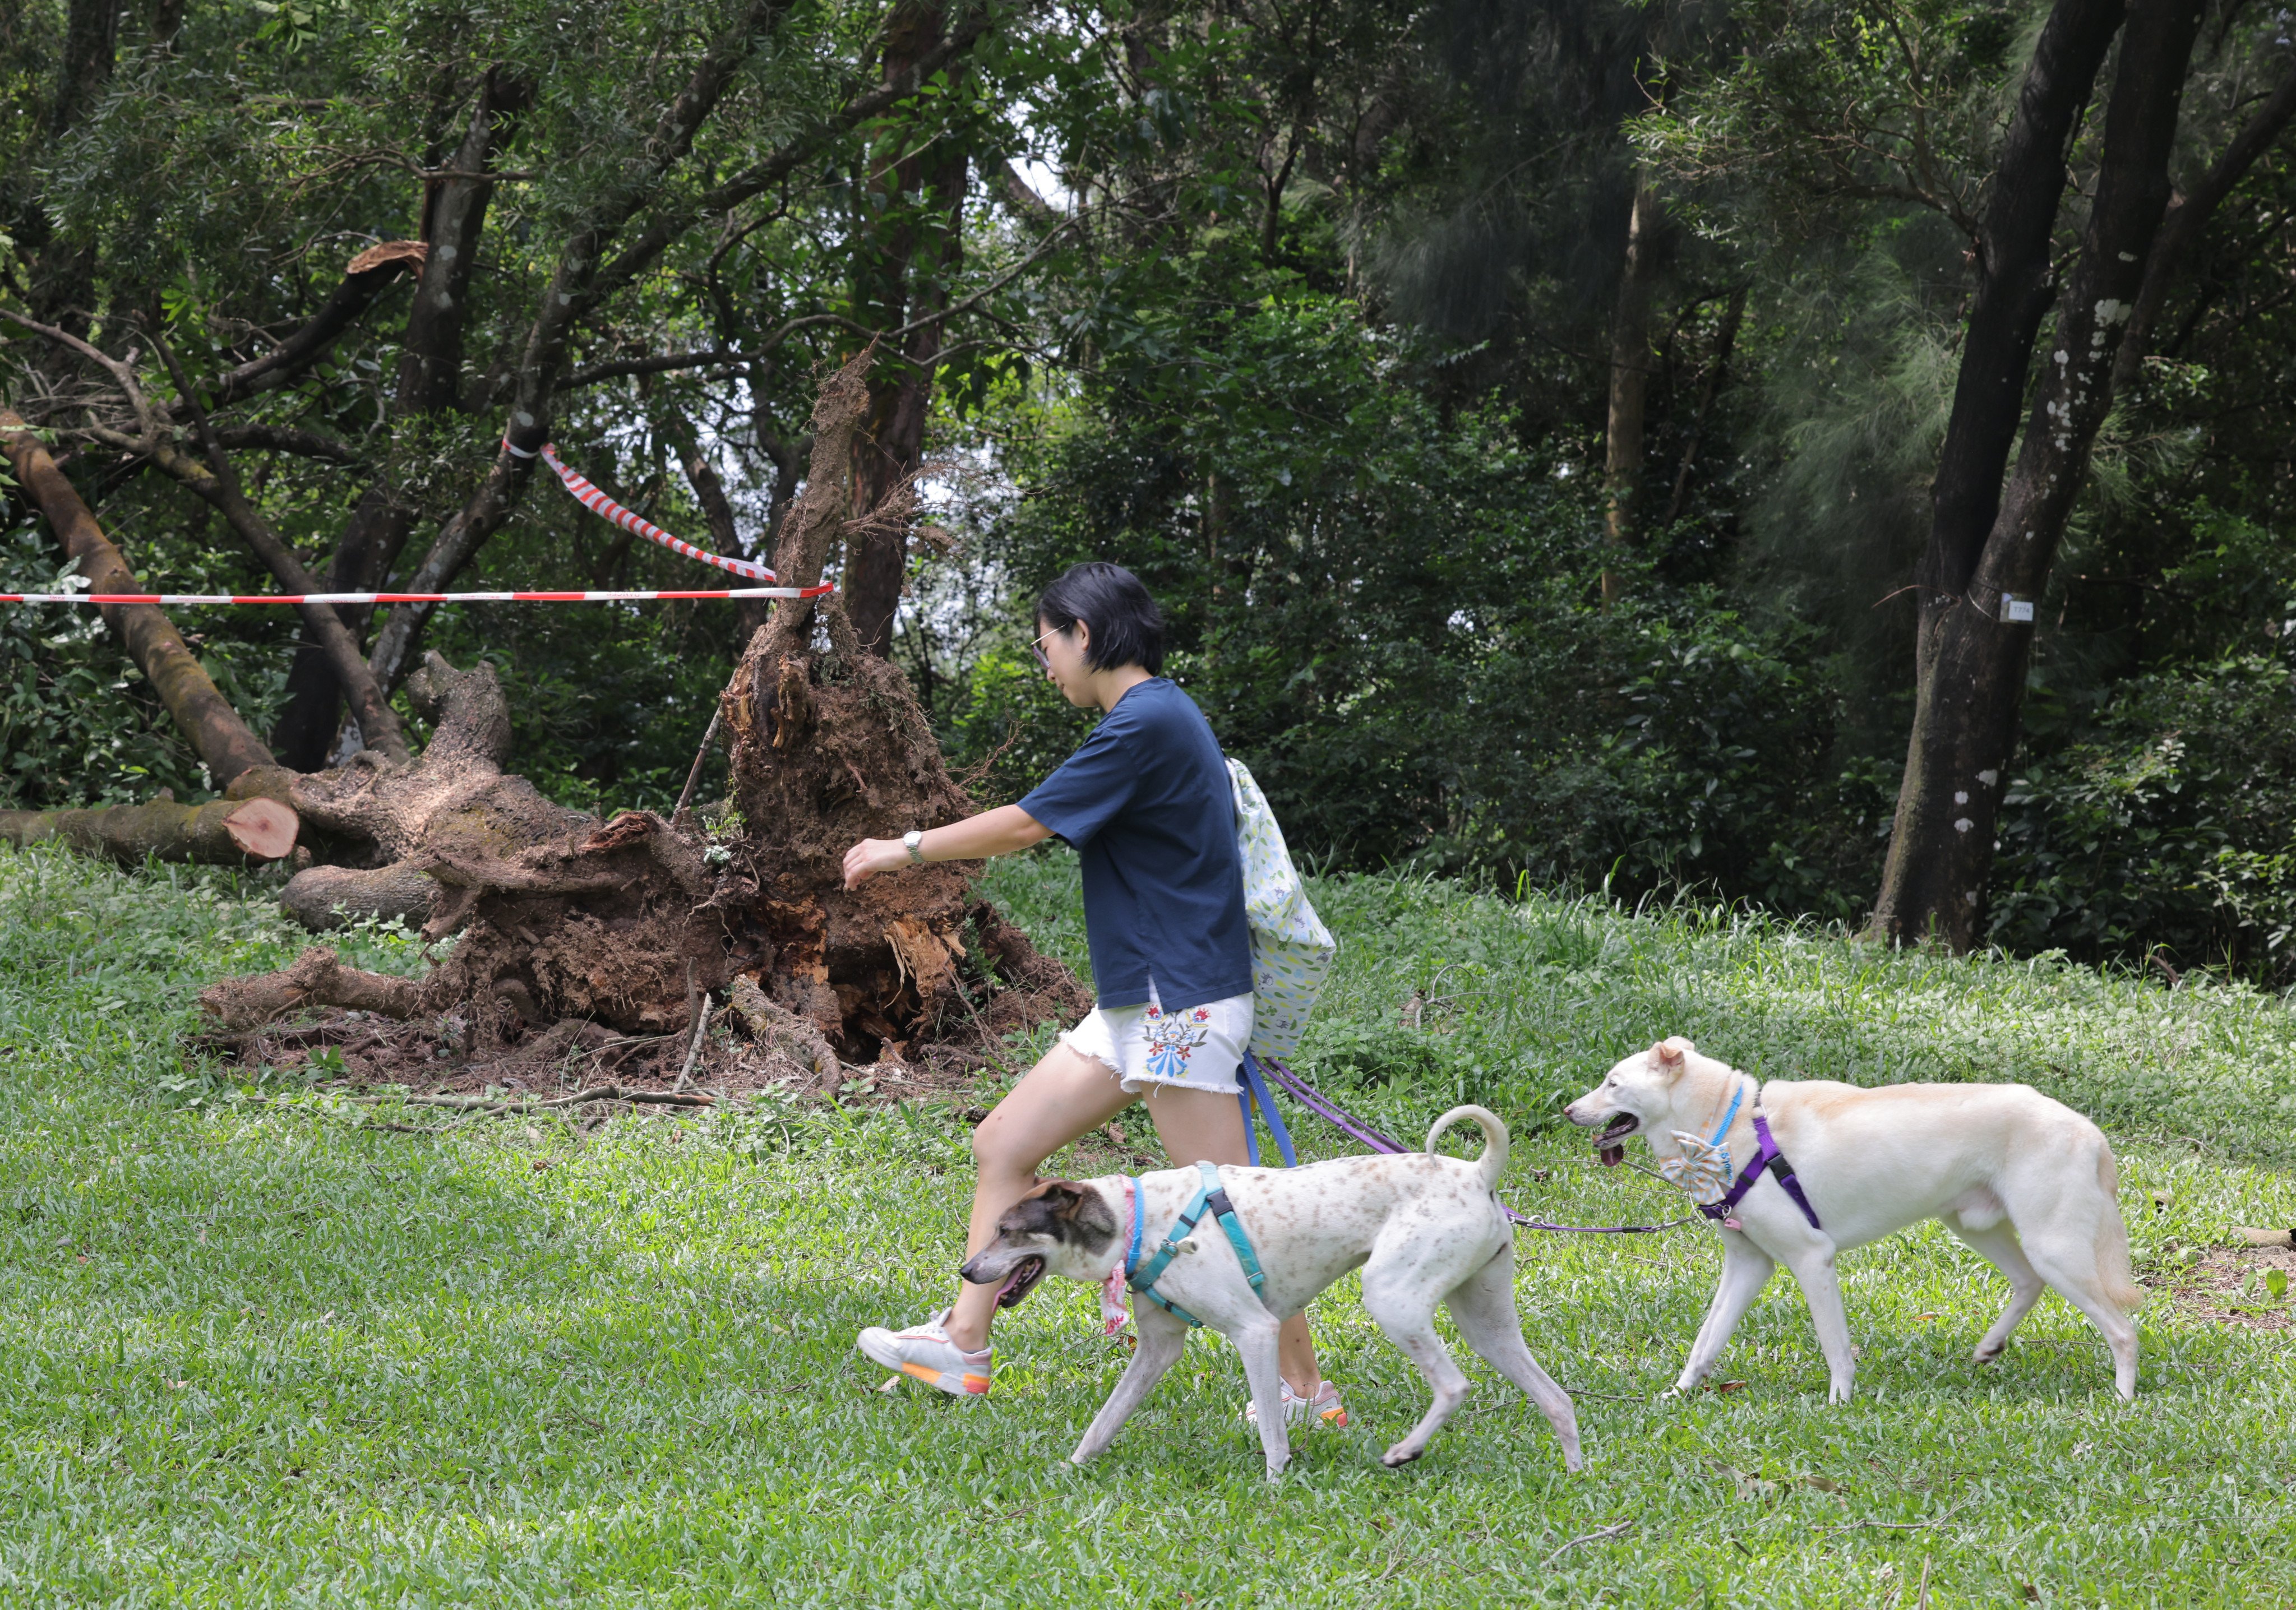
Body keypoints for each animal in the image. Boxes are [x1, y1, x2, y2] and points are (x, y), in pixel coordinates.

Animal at [955, 1111, 1579, 1479]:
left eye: (1007, 1231)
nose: (966, 1270)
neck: (1138, 1221)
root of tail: (1478, 1172)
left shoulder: (1255, 1333)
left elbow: (1275, 1437)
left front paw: (1276, 1482)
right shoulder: (1157, 1350)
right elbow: (1104, 1421)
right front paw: (1073, 1468)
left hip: (1392, 1300)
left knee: (1453, 1386)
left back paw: (1406, 1450)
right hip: (1486, 1323)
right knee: (1556, 1399)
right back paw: (1574, 1472)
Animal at [1570, 1043, 2140, 1396]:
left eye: (1612, 1084)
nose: (1569, 1112)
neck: (1726, 1127)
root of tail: (2089, 1130)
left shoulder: (1812, 1259)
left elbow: (1834, 1347)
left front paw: (1839, 1403)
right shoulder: (1748, 1265)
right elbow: (1704, 1343)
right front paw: (1679, 1394)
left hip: (2054, 1249)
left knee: (2123, 1330)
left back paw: (2122, 1400)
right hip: (1976, 1227)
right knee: (2026, 1282)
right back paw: (1990, 1345)